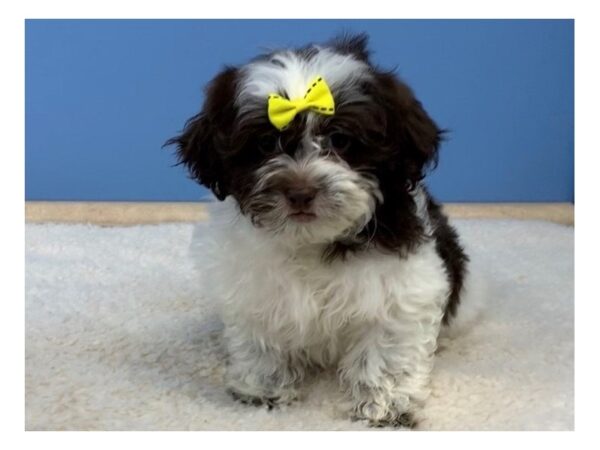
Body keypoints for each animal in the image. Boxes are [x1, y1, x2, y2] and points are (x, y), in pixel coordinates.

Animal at [169, 33, 478, 428]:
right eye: (266, 144)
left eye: (341, 140)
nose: (301, 192)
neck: (311, 241)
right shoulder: (253, 287)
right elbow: (260, 336)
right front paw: (263, 389)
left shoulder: (399, 289)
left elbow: (388, 347)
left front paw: (384, 406)